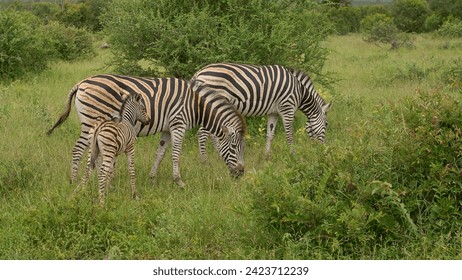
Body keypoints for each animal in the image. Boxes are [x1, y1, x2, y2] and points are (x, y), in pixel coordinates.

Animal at [46, 75, 245, 188]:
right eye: (233, 147)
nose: (241, 173)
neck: (195, 105)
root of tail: (81, 83)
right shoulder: (178, 124)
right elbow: (175, 154)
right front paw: (179, 181)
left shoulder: (166, 129)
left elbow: (160, 153)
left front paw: (152, 180)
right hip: (91, 121)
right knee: (78, 150)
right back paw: (73, 181)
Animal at [191, 63, 332, 160]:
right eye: (326, 125)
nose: (322, 149)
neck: (300, 92)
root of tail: (199, 73)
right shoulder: (287, 108)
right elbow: (289, 134)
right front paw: (293, 155)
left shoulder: (273, 113)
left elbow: (270, 134)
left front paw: (267, 156)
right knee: (202, 133)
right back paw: (205, 161)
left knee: (211, 133)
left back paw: (219, 155)